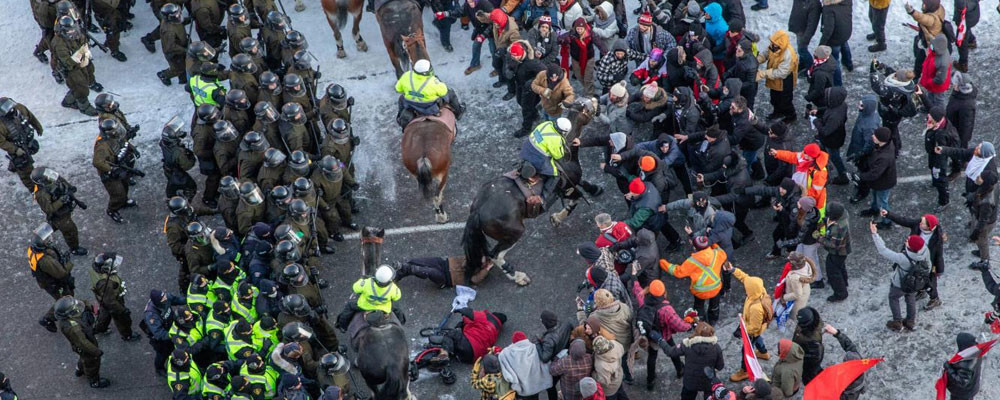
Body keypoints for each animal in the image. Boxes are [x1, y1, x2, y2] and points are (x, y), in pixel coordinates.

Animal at [462, 100, 600, 288]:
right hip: (514, 232)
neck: (566, 153)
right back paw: (518, 276)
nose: (597, 101)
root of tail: (477, 210)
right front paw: (558, 217)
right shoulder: (566, 188)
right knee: (496, 255)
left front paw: (593, 189)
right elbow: (576, 199)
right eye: (588, 107)